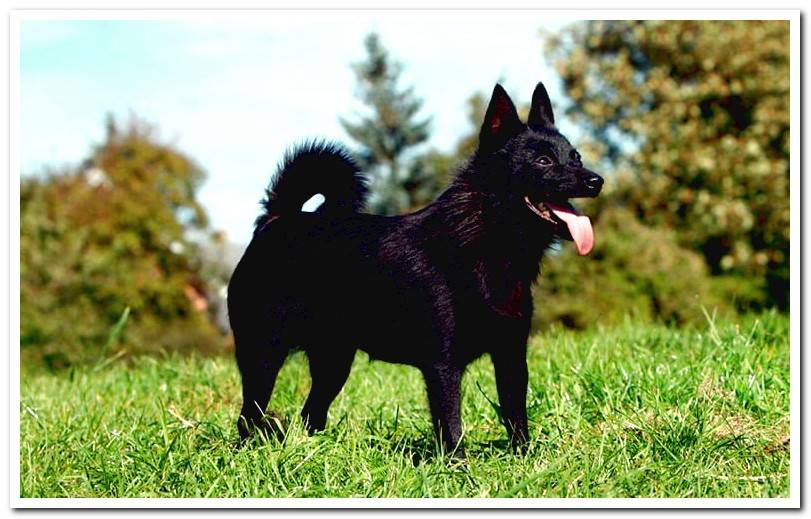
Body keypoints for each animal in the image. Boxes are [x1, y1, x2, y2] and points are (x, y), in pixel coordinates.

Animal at [228, 81, 604, 456]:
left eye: (576, 157)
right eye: (543, 160)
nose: (595, 181)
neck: (486, 243)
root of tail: (277, 219)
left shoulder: (511, 356)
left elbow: (515, 415)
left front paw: (523, 460)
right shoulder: (443, 366)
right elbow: (451, 426)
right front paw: (457, 467)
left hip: (333, 362)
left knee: (311, 415)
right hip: (264, 354)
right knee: (249, 415)